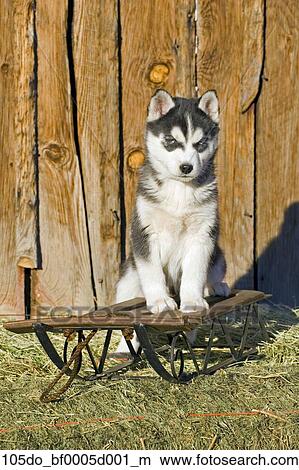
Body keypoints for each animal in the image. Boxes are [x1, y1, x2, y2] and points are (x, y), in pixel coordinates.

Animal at [115, 90, 230, 350]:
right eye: (171, 141)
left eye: (200, 144)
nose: (186, 167)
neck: (180, 190)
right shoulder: (145, 232)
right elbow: (152, 272)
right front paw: (160, 301)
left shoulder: (203, 233)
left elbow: (195, 272)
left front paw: (193, 301)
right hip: (127, 280)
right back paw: (123, 350)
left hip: (218, 255)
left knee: (213, 272)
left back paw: (216, 286)